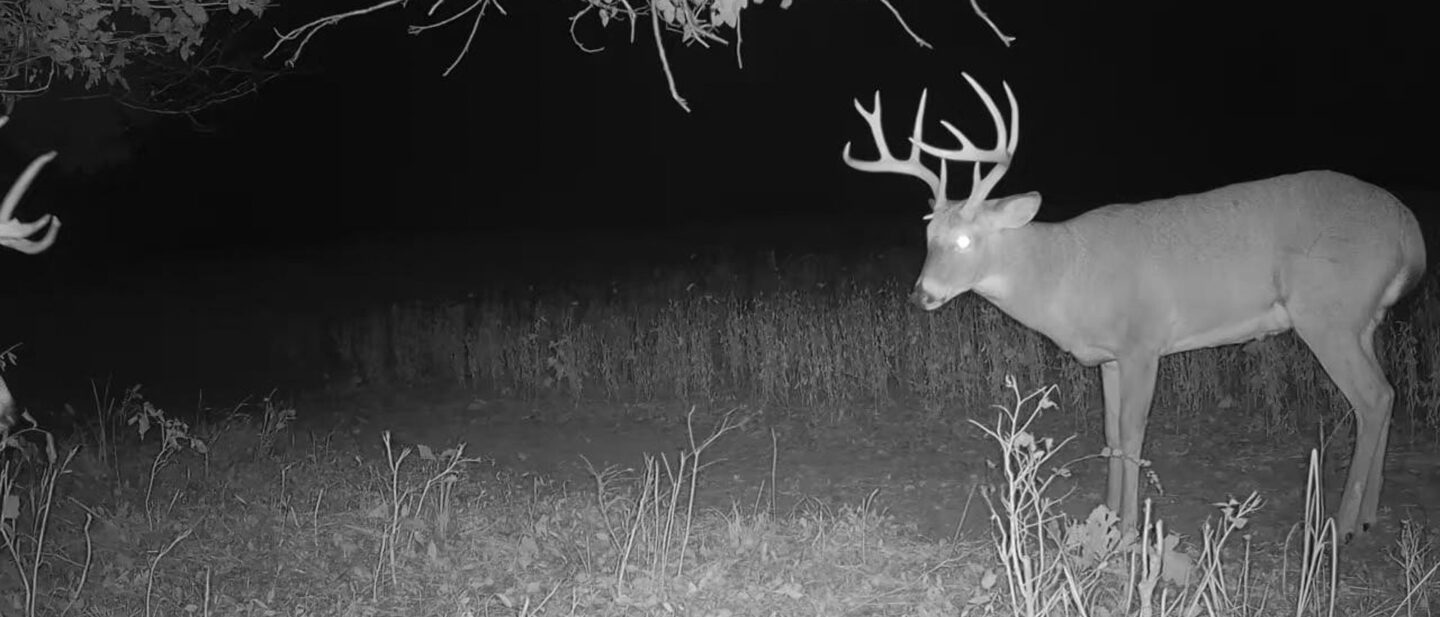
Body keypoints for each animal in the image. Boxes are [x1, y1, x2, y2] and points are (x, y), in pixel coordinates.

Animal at [842, 73, 1427, 542]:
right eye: (929, 237)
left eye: (965, 241)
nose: (922, 294)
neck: (1068, 272)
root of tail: (1409, 232)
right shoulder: (1109, 357)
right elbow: (1109, 434)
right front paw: (1103, 515)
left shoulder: (1144, 343)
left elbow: (1131, 434)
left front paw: (1125, 529)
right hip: (1363, 321)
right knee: (1389, 392)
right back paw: (1369, 517)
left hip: (1327, 313)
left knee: (1372, 397)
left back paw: (1341, 525)